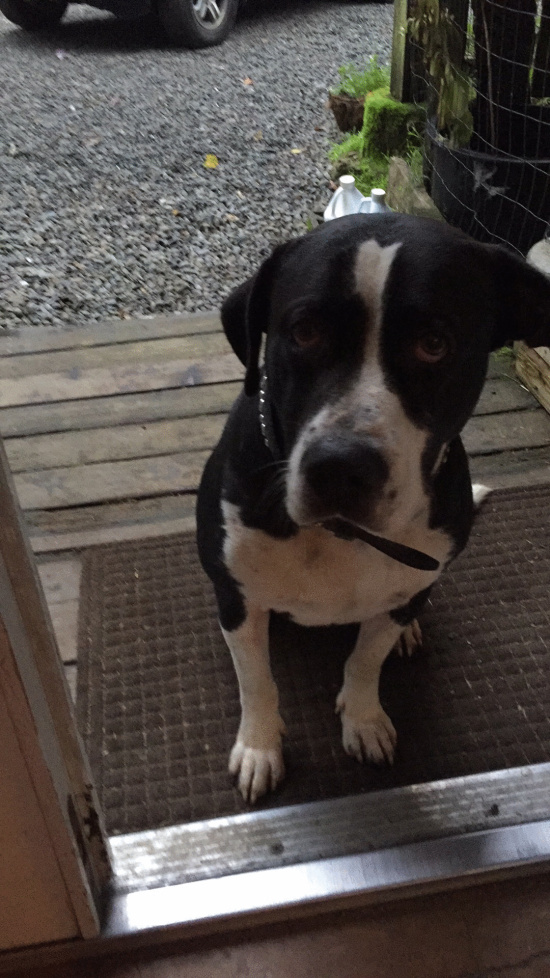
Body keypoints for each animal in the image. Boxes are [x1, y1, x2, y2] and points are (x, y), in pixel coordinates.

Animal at [197, 212, 550, 803]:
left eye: (434, 343)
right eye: (305, 331)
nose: (341, 466)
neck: (341, 534)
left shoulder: (405, 584)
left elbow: (365, 660)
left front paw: (363, 719)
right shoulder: (239, 599)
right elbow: (257, 681)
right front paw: (260, 747)